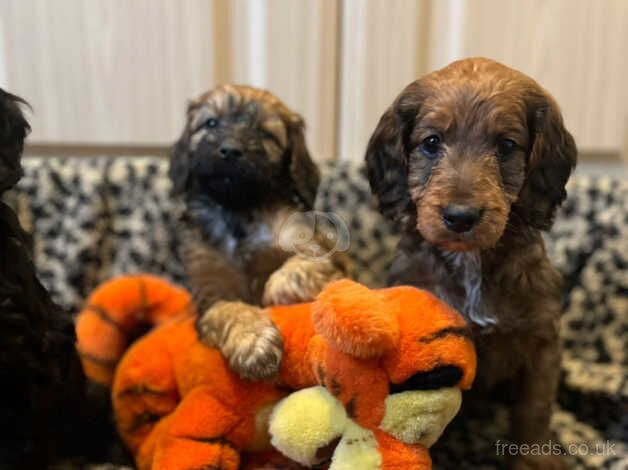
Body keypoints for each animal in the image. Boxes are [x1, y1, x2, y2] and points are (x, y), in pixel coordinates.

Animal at [169, 84, 350, 380]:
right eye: (211, 123)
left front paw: (279, 287)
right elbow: (229, 309)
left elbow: (308, 263)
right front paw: (254, 342)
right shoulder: (210, 289)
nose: (231, 150)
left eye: (266, 134)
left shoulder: (313, 244)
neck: (239, 210)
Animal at [366, 57, 576, 468]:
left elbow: (535, 409)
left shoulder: (542, 340)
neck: (471, 262)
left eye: (506, 145)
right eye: (432, 143)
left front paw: (533, 458)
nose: (460, 217)